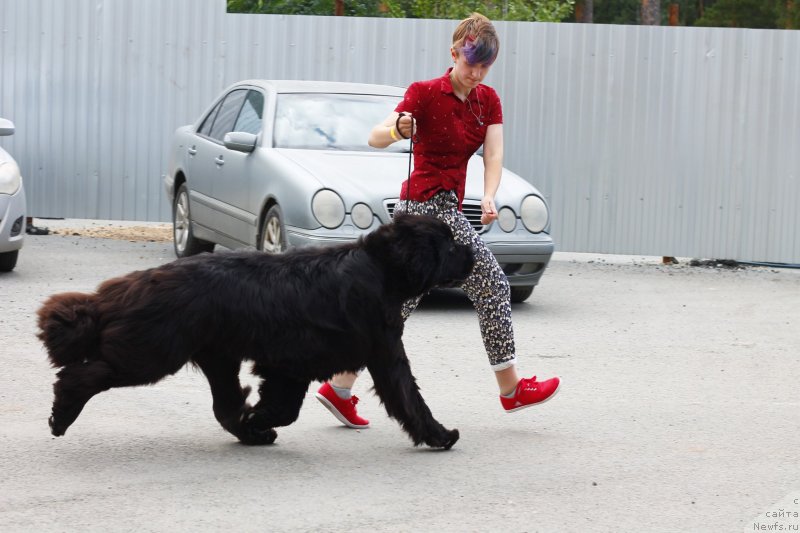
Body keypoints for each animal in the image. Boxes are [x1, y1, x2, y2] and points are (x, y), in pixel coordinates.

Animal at [37, 214, 472, 446]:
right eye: (449, 245)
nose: (472, 253)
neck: (380, 269)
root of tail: (143, 279)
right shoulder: (365, 355)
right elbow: (407, 397)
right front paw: (441, 435)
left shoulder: (296, 365)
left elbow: (285, 407)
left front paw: (257, 421)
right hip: (152, 352)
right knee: (81, 375)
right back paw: (62, 416)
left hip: (216, 357)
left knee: (224, 404)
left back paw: (250, 434)